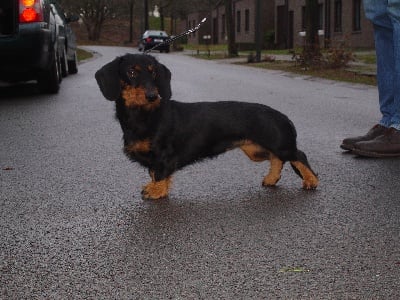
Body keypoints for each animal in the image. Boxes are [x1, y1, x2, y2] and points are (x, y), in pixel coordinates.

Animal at [94, 54, 318, 199]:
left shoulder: (163, 155)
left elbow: (160, 174)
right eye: (131, 71)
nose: (152, 96)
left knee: (298, 155)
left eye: (154, 73)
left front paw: (156, 191)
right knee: (277, 159)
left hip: (279, 144)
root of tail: (282, 116)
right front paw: (157, 188)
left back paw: (311, 181)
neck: (145, 115)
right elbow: (154, 173)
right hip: (256, 151)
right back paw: (271, 179)